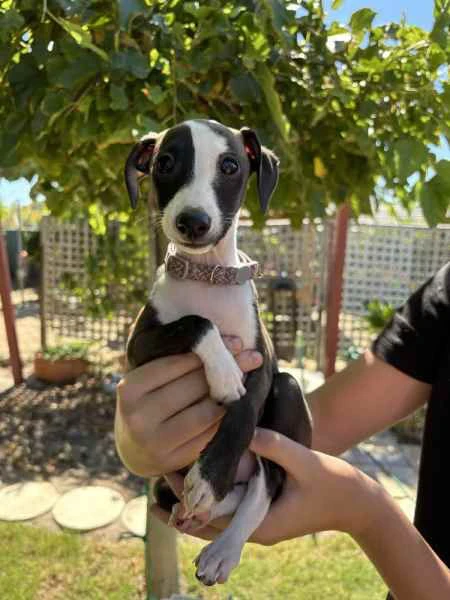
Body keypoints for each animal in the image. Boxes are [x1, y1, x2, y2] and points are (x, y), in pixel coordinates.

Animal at [125, 118, 312, 584]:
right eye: (165, 163)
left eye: (230, 166)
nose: (193, 221)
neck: (207, 275)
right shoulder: (139, 348)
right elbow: (196, 322)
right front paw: (224, 372)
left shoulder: (262, 363)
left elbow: (243, 410)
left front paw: (211, 477)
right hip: (162, 481)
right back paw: (200, 507)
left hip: (288, 388)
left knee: (267, 482)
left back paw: (223, 545)